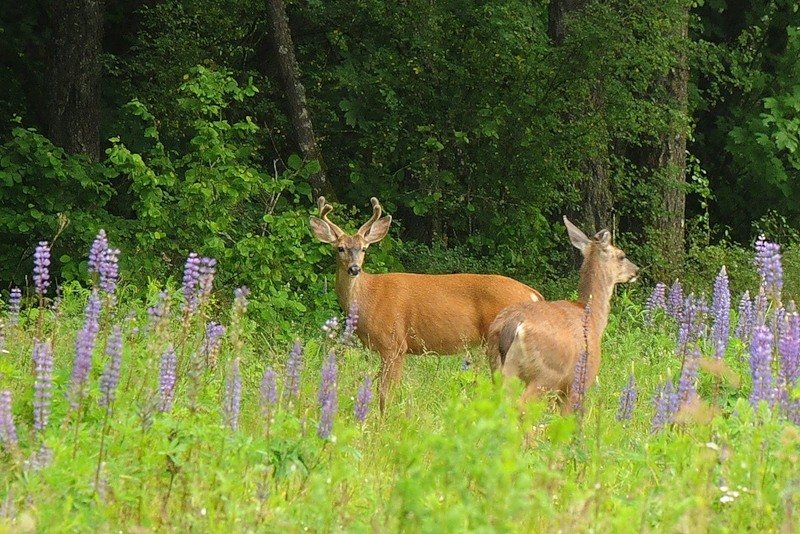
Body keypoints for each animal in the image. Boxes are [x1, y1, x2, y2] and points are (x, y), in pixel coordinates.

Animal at [310, 199, 548, 412]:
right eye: (340, 248)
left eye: (364, 249)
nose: (354, 269)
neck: (370, 297)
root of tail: (534, 295)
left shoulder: (394, 344)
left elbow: (385, 394)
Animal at [484, 218, 640, 410]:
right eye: (621, 255)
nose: (636, 270)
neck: (593, 317)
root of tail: (513, 323)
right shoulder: (579, 381)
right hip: (547, 373)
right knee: (521, 406)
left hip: (498, 367)